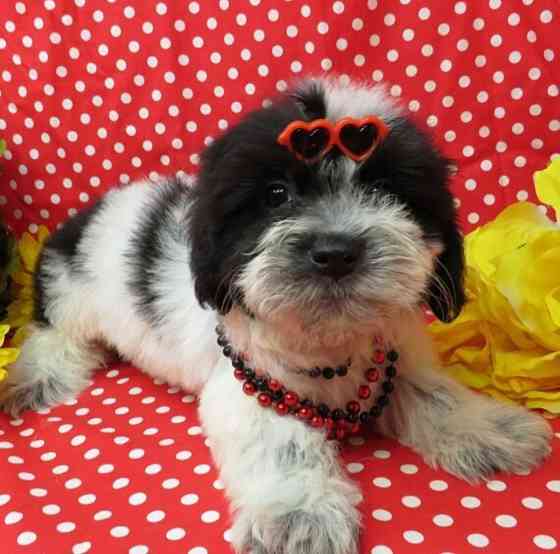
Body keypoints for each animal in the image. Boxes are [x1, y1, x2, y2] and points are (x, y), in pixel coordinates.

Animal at [0, 77, 552, 552]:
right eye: (276, 195)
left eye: (385, 191)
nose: (336, 252)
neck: (329, 338)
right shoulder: (248, 386)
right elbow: (280, 443)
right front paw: (299, 515)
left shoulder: (398, 358)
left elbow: (432, 393)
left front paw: (491, 428)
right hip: (71, 291)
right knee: (54, 332)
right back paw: (34, 377)